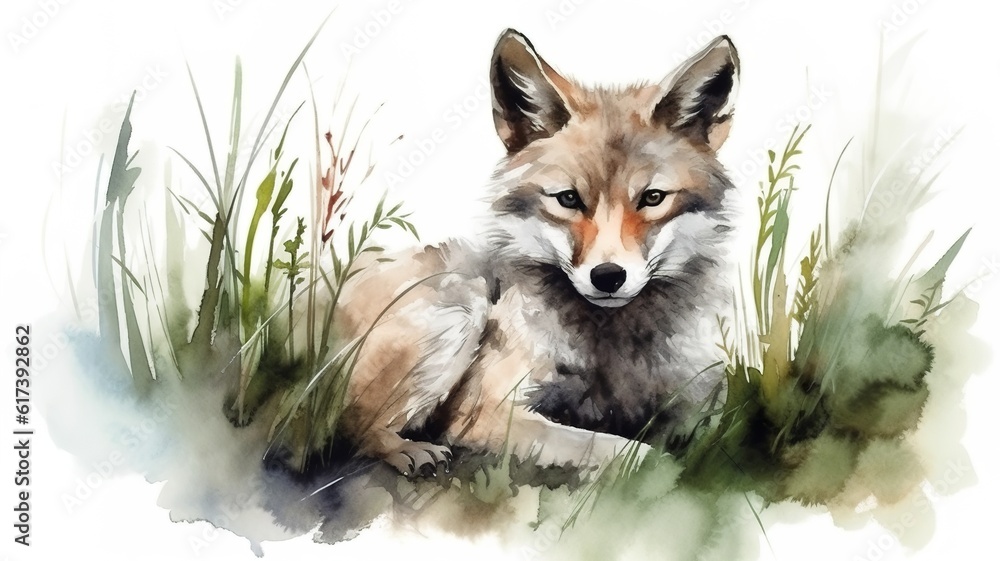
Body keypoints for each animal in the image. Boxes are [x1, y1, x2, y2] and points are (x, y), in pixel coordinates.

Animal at [332, 29, 741, 476]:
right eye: (568, 199)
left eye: (652, 198)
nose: (608, 277)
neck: (612, 350)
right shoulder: (486, 409)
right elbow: (615, 447)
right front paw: (647, 464)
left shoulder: (702, 400)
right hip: (464, 303)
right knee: (351, 426)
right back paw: (407, 450)